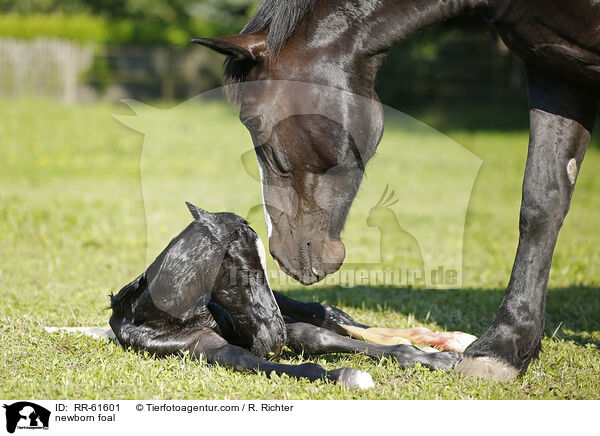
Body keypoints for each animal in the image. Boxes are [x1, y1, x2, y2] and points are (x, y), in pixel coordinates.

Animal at [110, 203, 460, 390]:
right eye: (247, 271)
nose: (274, 338)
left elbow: (314, 335)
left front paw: (436, 360)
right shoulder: (201, 348)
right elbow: (242, 357)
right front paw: (348, 376)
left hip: (294, 305)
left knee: (335, 316)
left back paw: (450, 341)